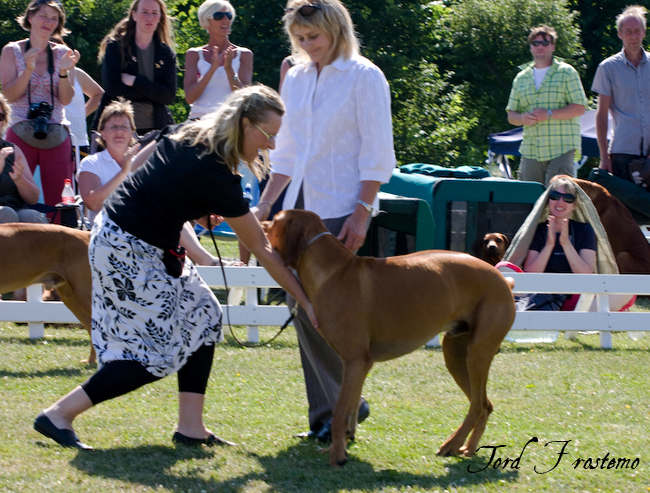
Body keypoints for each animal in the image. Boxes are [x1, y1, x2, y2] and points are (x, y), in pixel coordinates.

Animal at [260, 209, 512, 468]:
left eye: (275, 220)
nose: (260, 222)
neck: (333, 271)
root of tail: (502, 279)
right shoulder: (358, 365)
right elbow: (350, 409)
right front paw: (340, 445)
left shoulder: (355, 360)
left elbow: (339, 412)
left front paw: (337, 455)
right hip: (455, 355)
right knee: (485, 405)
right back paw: (468, 448)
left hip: (477, 354)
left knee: (477, 405)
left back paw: (452, 444)